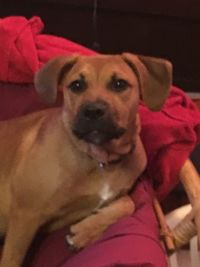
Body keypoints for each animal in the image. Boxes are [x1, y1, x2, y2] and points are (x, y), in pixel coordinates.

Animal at [0, 53, 172, 266]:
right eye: (76, 85)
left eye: (119, 84)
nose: (93, 111)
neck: (99, 159)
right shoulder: (25, 214)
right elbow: (11, 259)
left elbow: (129, 203)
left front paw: (85, 232)